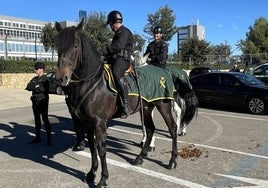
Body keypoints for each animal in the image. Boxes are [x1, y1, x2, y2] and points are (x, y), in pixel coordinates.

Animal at [54, 19, 197, 187]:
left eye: (76, 45)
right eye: (57, 46)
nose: (61, 77)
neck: (92, 83)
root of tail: (166, 72)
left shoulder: (99, 123)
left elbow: (101, 149)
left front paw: (103, 179)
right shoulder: (88, 123)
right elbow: (92, 148)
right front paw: (91, 174)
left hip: (164, 105)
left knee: (172, 128)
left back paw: (172, 160)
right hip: (147, 108)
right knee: (150, 129)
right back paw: (140, 158)